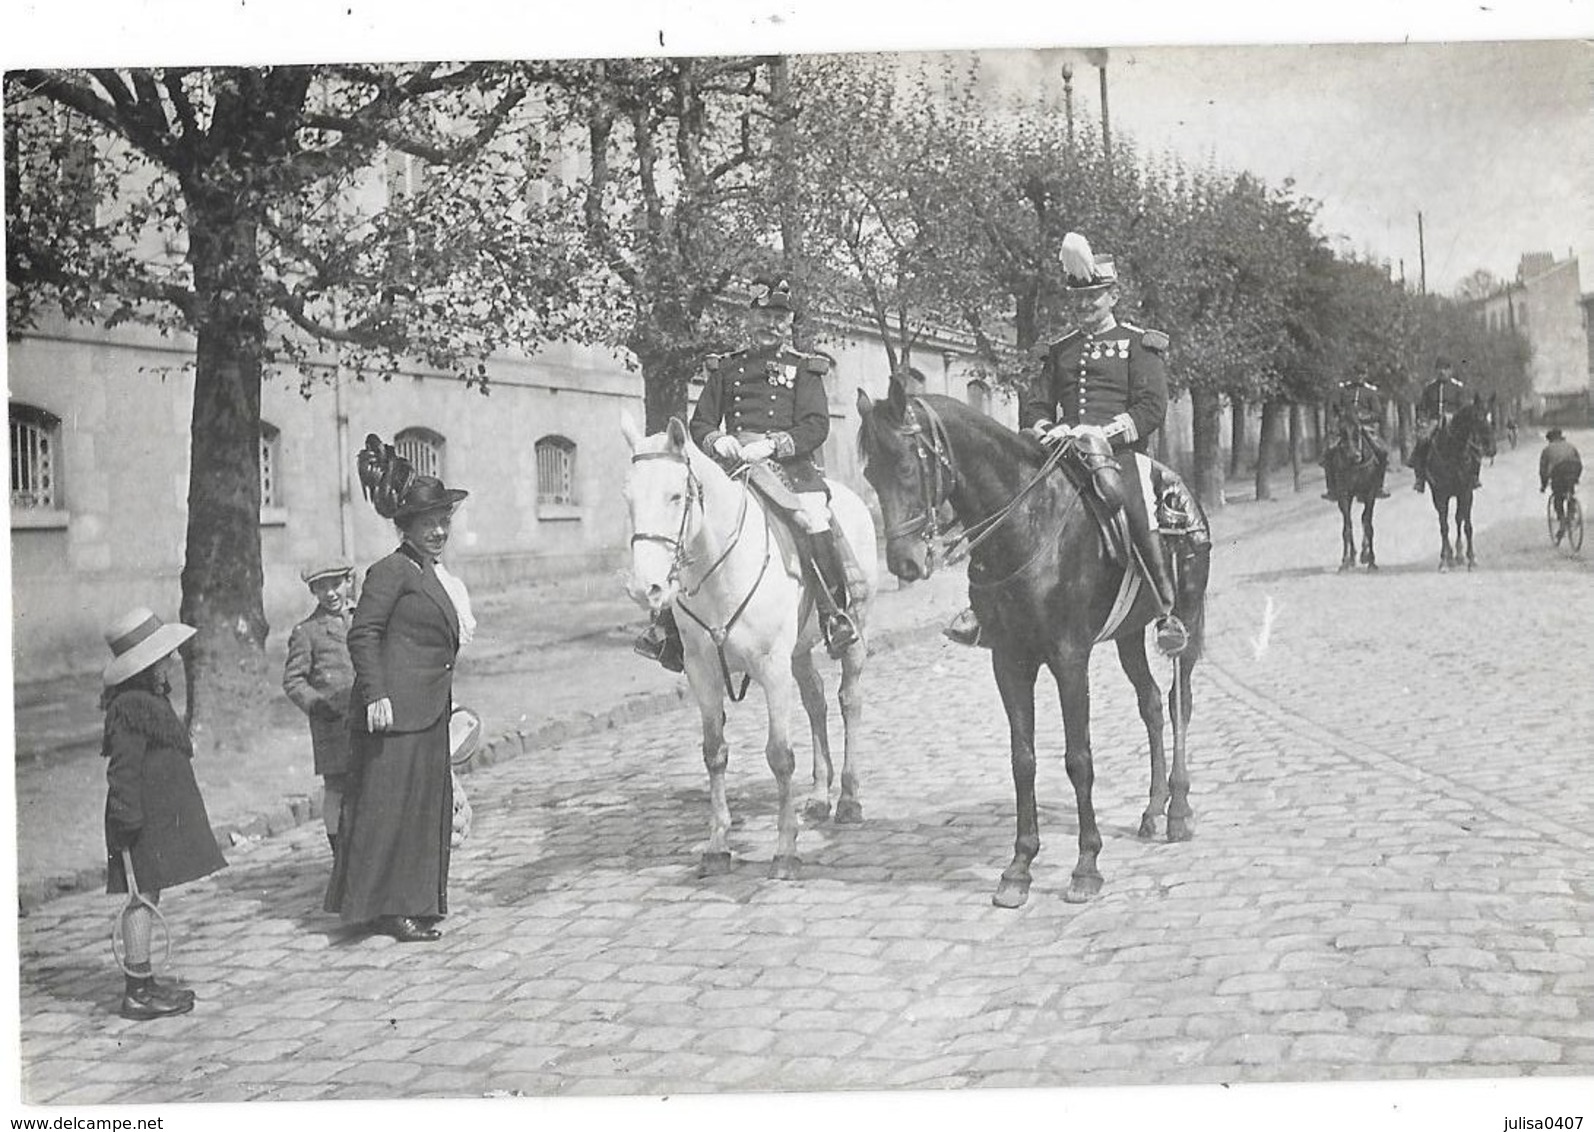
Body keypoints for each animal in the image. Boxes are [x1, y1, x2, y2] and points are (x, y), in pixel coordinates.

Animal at [618, 411, 879, 880]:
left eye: (675, 496)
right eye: (628, 497)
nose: (644, 588)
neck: (719, 569)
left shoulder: (771, 665)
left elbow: (779, 755)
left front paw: (785, 850)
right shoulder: (701, 670)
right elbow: (714, 752)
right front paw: (718, 844)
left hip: (854, 633)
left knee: (849, 701)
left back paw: (848, 799)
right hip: (799, 650)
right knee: (816, 702)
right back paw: (819, 795)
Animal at [860, 385, 1205, 911]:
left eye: (903, 466)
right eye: (868, 474)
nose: (904, 563)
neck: (1026, 524)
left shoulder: (1069, 659)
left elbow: (1078, 759)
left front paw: (1086, 866)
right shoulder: (1009, 661)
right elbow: (1022, 760)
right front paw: (1018, 869)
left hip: (1188, 614)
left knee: (1177, 701)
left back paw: (1179, 811)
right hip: (1127, 634)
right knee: (1150, 704)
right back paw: (1152, 810)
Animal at [1434, 401, 1491, 577]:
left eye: (1490, 418)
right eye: (1478, 419)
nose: (1491, 448)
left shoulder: (1466, 492)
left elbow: (1467, 526)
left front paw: (1471, 559)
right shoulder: (1440, 495)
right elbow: (1444, 527)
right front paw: (1444, 561)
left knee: (1459, 519)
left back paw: (1458, 555)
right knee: (1445, 522)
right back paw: (1449, 556)